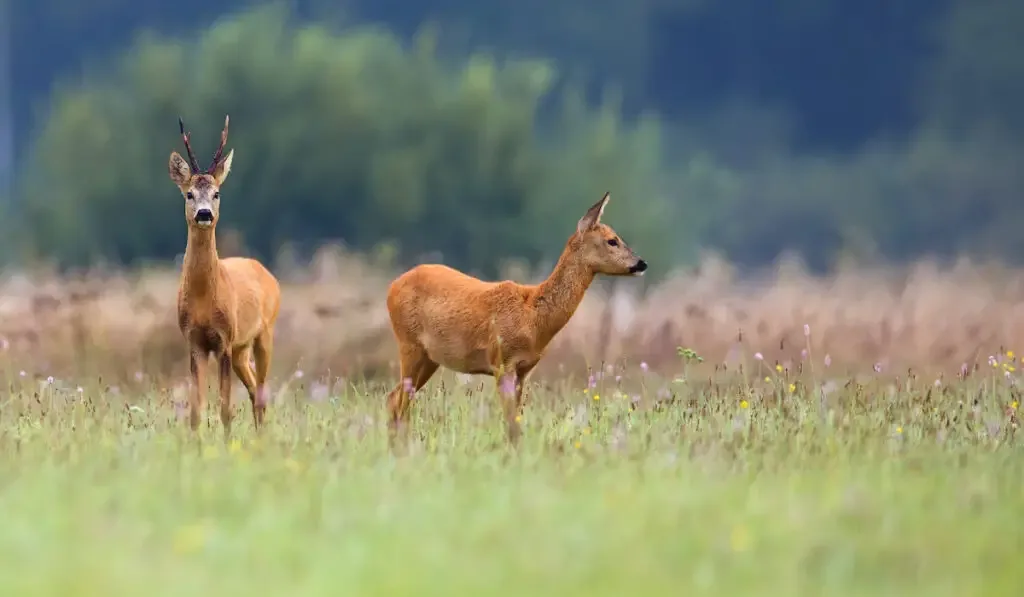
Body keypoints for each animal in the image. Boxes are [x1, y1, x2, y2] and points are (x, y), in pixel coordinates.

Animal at [168, 115, 282, 434]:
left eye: (217, 193)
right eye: (189, 194)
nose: (204, 213)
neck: (205, 298)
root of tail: (266, 273)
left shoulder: (223, 340)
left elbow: (225, 408)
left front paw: (226, 440)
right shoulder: (194, 341)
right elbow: (196, 409)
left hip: (264, 333)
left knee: (261, 391)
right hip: (242, 349)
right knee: (255, 390)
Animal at [385, 191, 647, 444]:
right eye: (612, 240)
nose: (641, 263)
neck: (533, 316)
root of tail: (392, 287)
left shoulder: (524, 370)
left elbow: (516, 423)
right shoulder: (502, 362)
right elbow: (511, 425)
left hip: (429, 358)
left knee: (395, 399)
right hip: (408, 344)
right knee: (398, 402)